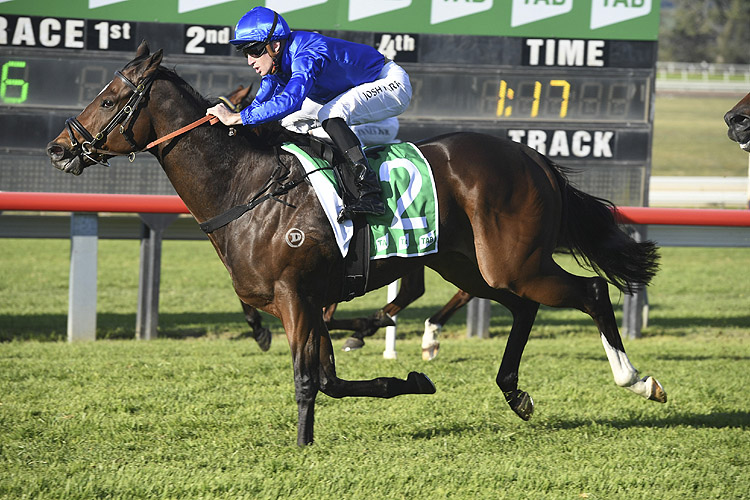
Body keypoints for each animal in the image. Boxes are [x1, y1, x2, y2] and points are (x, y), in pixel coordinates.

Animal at [47, 43, 668, 448]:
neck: (247, 185)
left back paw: (638, 381)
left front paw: (302, 448)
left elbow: (307, 379)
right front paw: (409, 380)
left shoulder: (295, 296)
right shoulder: (306, 299)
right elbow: (329, 379)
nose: (59, 148)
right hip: (473, 266)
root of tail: (532, 156)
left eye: (109, 99)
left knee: (590, 292)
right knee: (523, 307)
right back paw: (513, 392)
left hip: (514, 261)